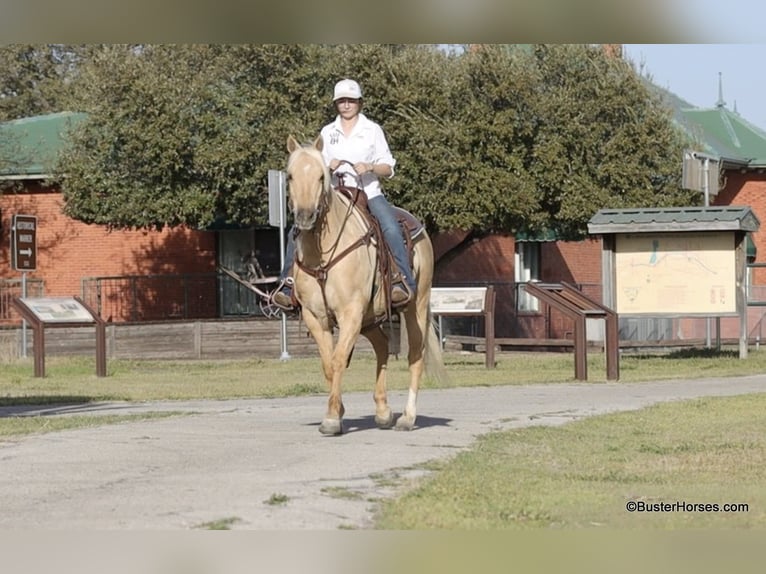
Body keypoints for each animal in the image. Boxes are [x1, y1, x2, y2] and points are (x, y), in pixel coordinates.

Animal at [284, 134, 446, 435]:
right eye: (289, 176)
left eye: (321, 176)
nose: (305, 217)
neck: (323, 253)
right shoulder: (316, 316)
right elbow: (328, 364)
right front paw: (337, 410)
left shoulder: (350, 313)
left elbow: (338, 359)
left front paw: (331, 419)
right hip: (371, 317)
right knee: (382, 346)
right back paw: (383, 412)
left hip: (415, 307)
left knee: (415, 356)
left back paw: (407, 418)